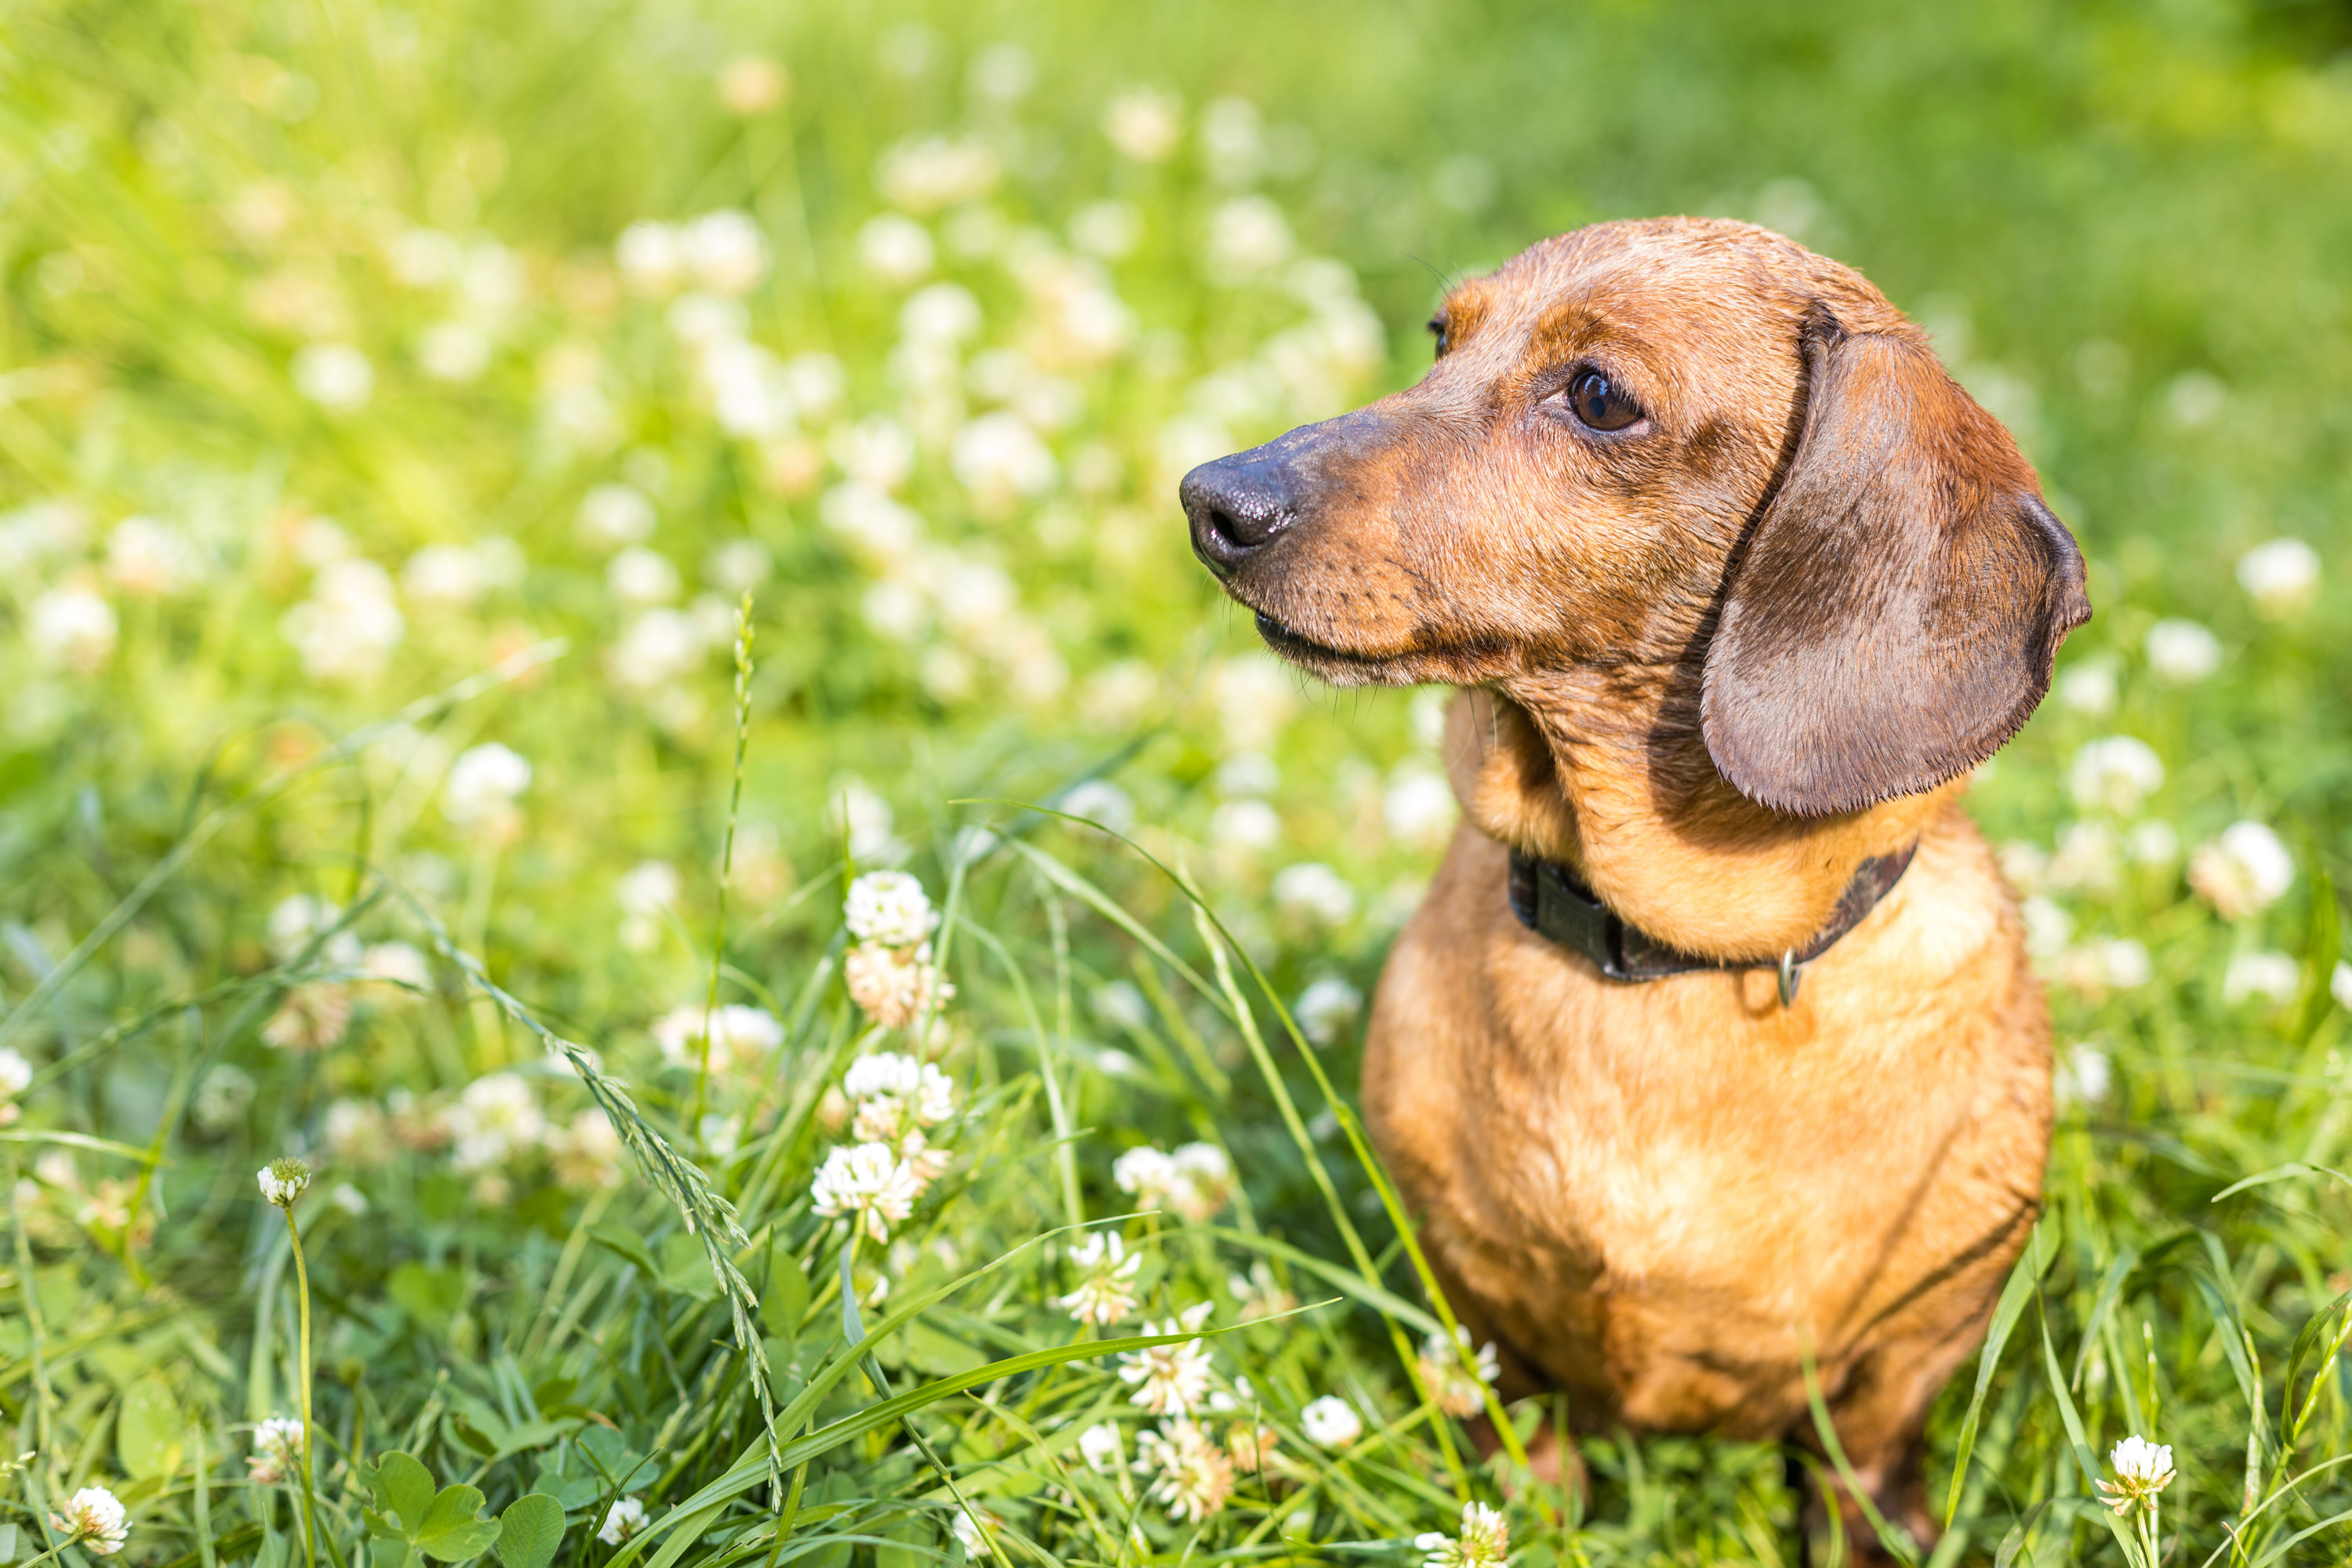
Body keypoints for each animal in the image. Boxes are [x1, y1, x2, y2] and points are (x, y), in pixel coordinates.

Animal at [1185, 220, 2089, 1561]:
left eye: (1601, 395)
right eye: (1442, 335)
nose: (1211, 498)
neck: (1658, 962)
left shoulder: (1908, 1356)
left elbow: (1862, 1466)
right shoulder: (1478, 1311)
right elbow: (1519, 1437)